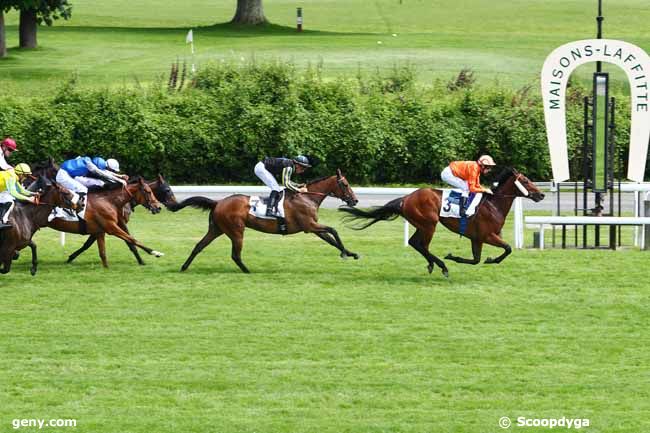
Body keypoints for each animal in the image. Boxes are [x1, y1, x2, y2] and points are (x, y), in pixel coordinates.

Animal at [167, 168, 356, 272]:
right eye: (346, 184)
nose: (354, 201)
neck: (307, 197)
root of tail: (218, 202)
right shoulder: (310, 225)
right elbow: (334, 230)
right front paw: (345, 253)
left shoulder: (312, 228)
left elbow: (331, 239)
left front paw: (351, 253)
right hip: (236, 231)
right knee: (235, 255)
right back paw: (248, 271)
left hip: (216, 229)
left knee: (199, 246)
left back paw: (184, 267)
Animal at [336, 168, 544, 276]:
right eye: (526, 180)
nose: (541, 195)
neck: (494, 205)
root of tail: (406, 198)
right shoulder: (487, 235)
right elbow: (507, 249)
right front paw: (491, 259)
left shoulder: (476, 238)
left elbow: (476, 259)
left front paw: (459, 257)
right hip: (430, 224)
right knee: (421, 245)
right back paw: (441, 266)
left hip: (421, 224)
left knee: (414, 243)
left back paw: (433, 264)